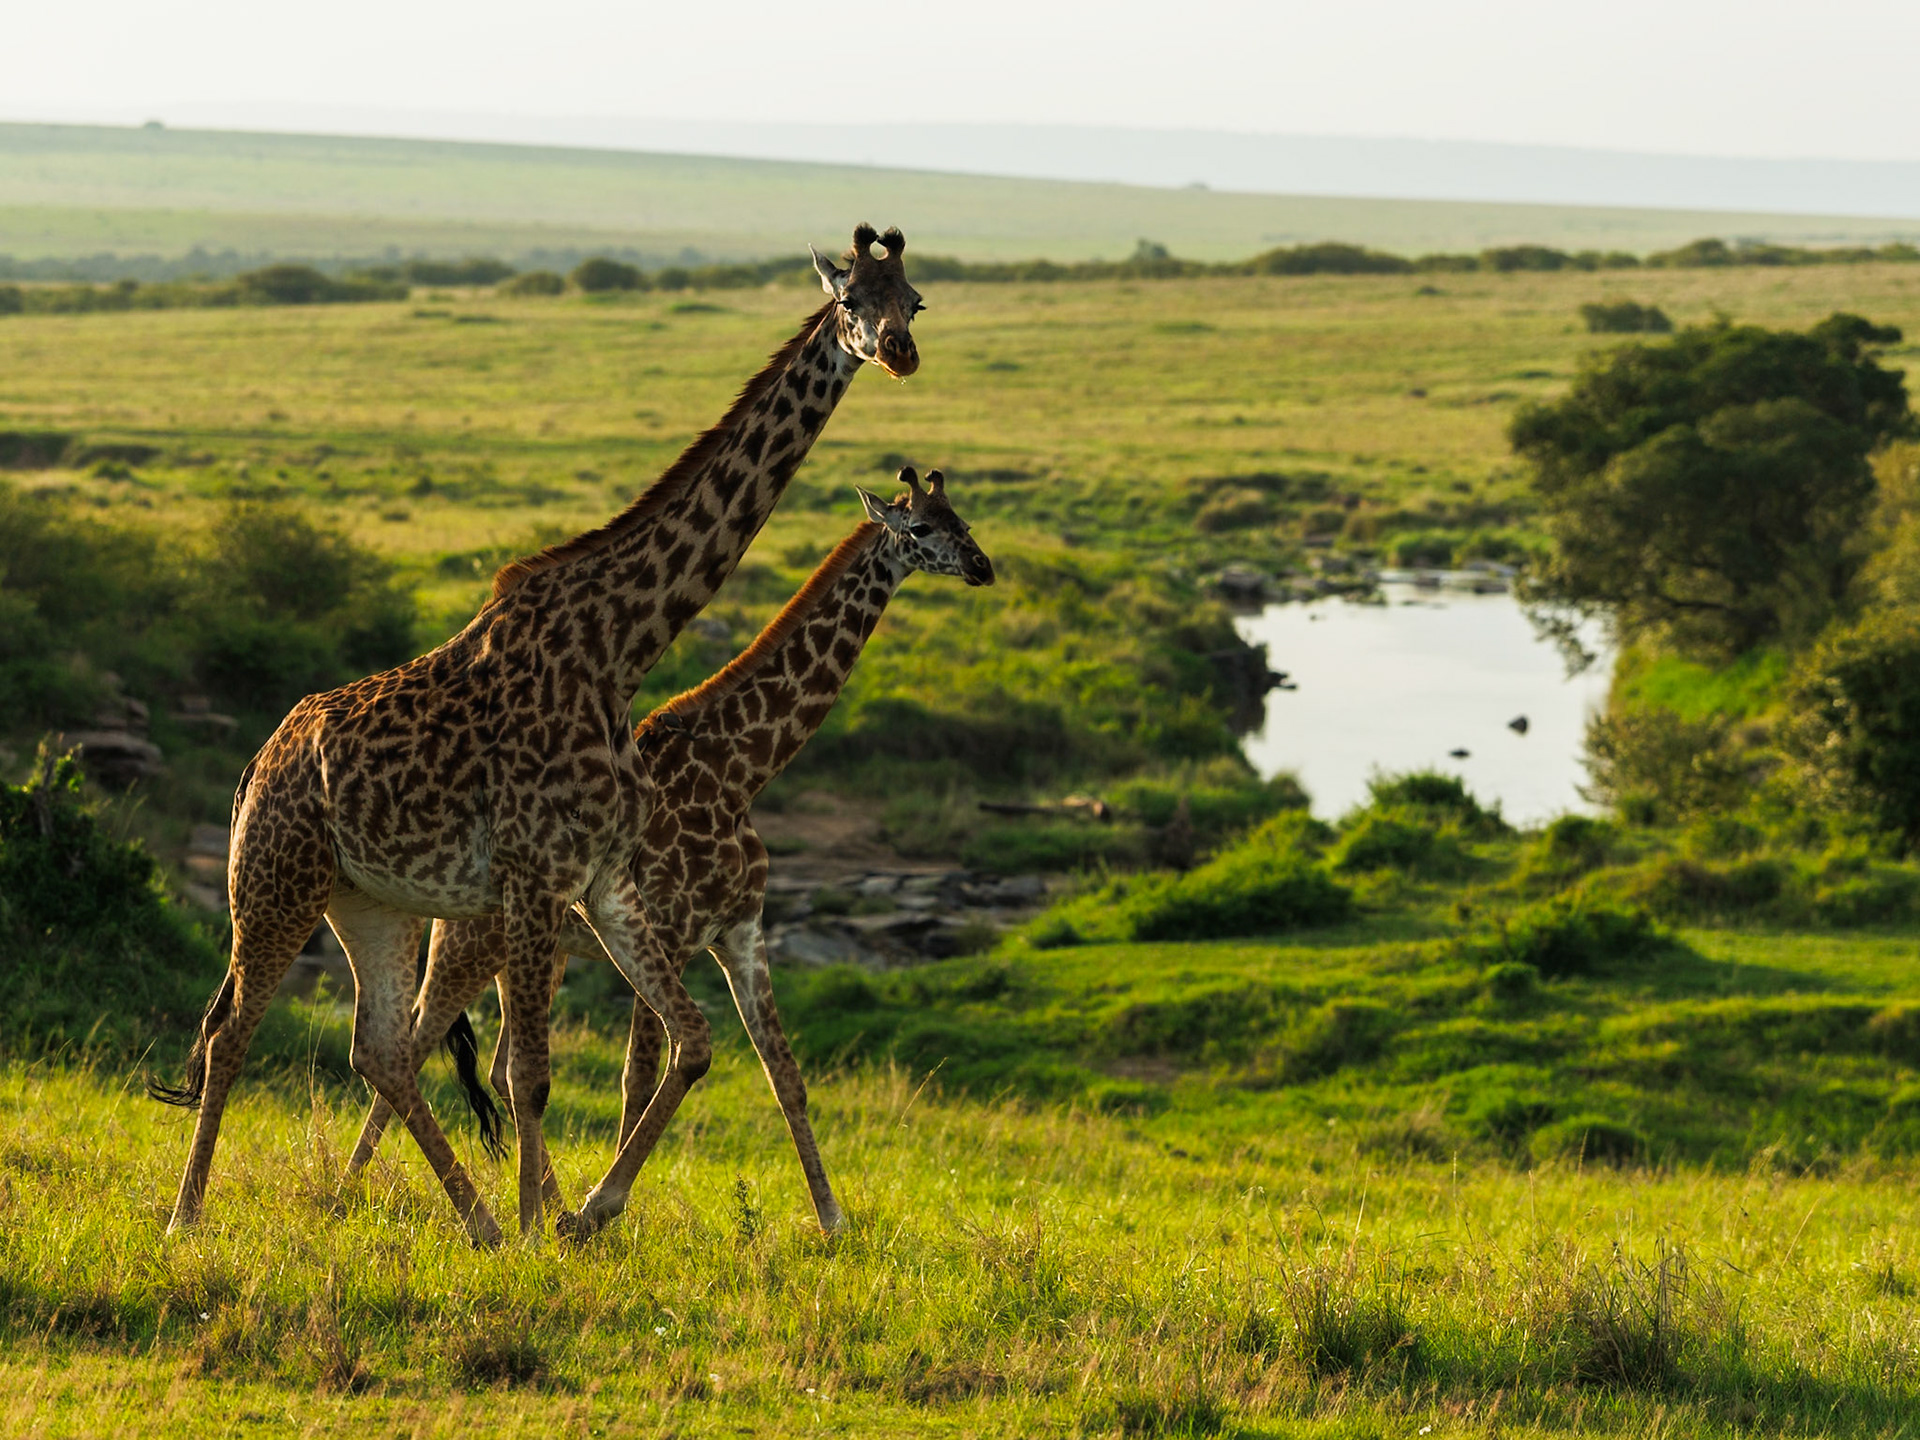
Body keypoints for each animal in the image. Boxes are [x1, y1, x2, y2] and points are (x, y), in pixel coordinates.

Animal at [147, 225, 926, 1247]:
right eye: (849, 303)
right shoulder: (535, 875)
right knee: (235, 1028)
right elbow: (532, 1072)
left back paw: (473, 1222)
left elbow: (673, 1048)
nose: (899, 353)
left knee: (379, 1050)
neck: (621, 647)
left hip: (374, 903)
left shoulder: (601, 882)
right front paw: (540, 1233)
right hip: (277, 884)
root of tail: (255, 767)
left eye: (915, 300)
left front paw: (567, 1220)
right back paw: (186, 1218)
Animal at [344, 469, 993, 1238]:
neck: (740, 772)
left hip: (533, 949)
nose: (982, 566)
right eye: (921, 528)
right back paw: (346, 1192)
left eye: (964, 519)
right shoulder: (675, 930)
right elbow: (647, 1072)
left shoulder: (741, 931)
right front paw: (602, 1211)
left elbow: (785, 1076)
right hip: (472, 945)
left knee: (495, 1065)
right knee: (412, 1047)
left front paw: (833, 1222)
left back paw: (533, 1201)